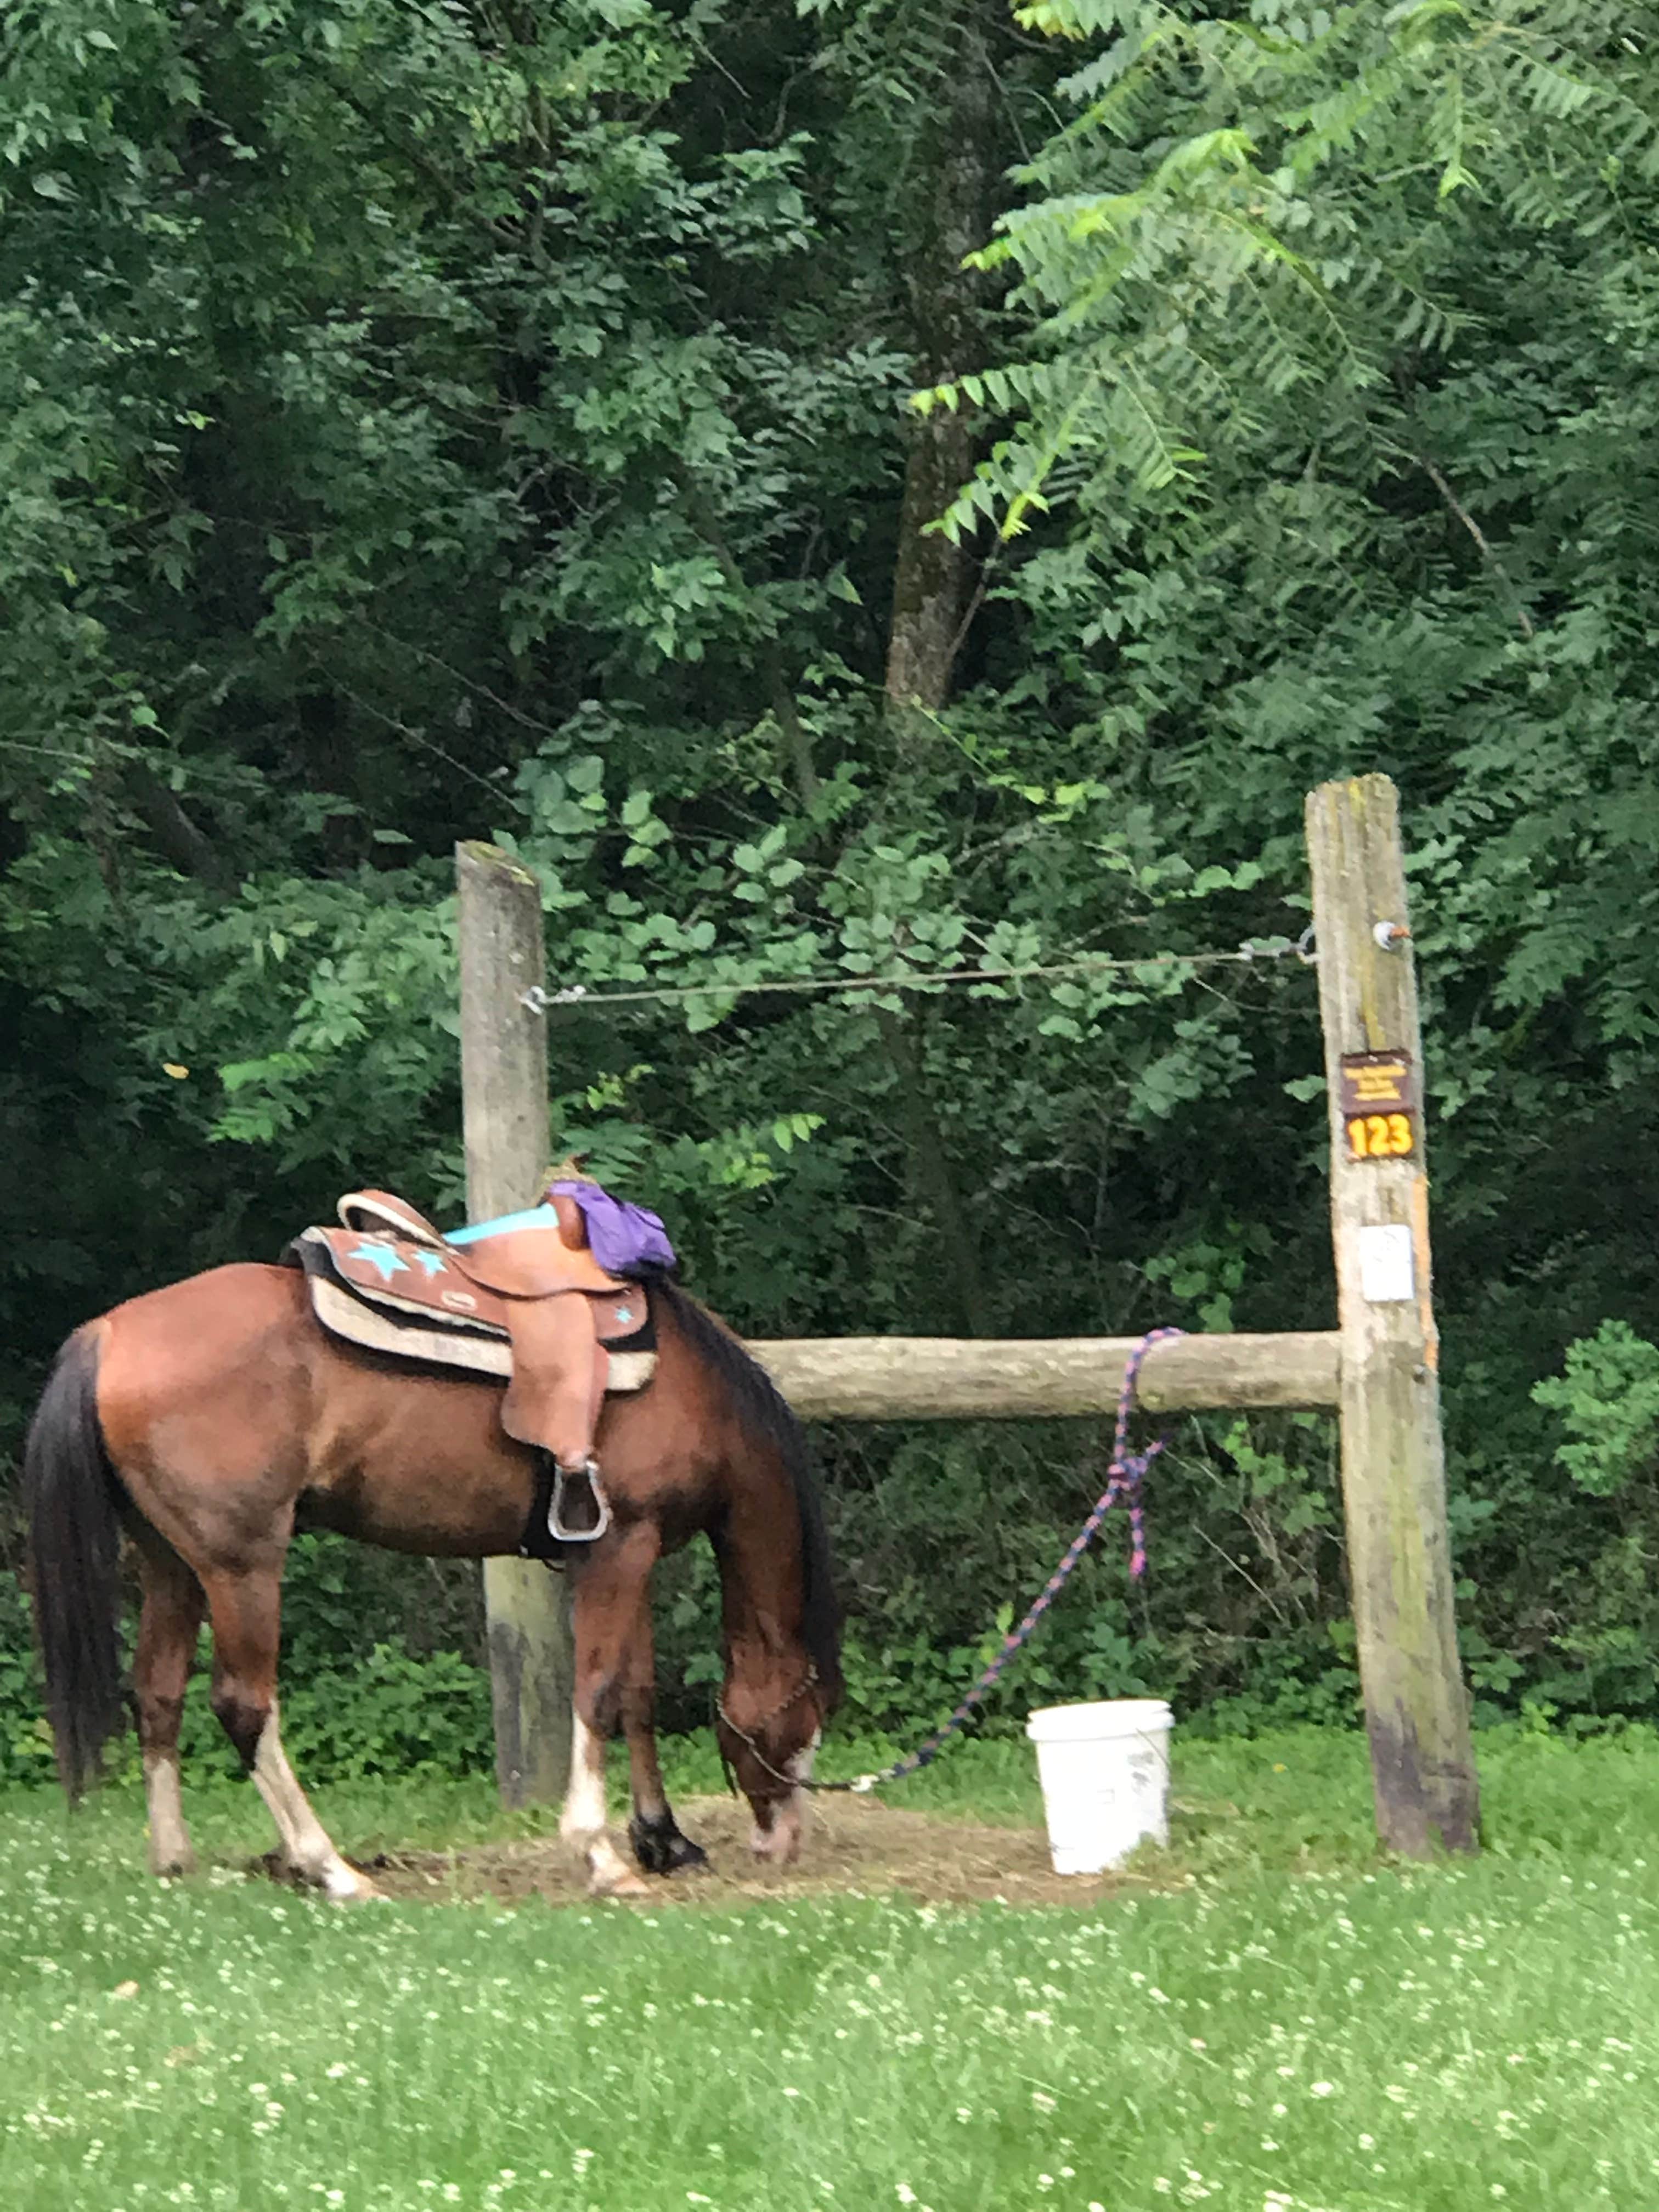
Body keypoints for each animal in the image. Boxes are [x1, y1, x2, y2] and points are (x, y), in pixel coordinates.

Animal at [23, 1258, 841, 1899]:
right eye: (808, 1719)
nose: (786, 1840)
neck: (685, 1381)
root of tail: (109, 1332)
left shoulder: (621, 1554)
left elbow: (634, 1694)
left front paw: (664, 1841)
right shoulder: (623, 1548)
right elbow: (599, 1694)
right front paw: (601, 1855)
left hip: (173, 1566)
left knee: (157, 1695)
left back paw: (174, 1860)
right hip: (242, 1565)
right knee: (244, 1706)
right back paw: (332, 1869)